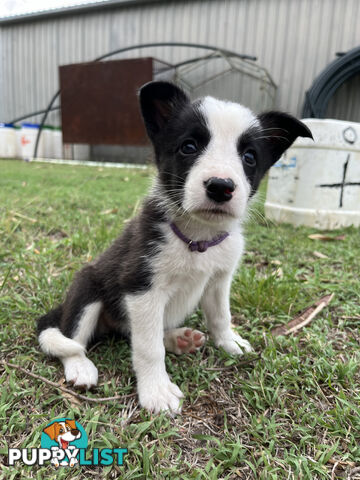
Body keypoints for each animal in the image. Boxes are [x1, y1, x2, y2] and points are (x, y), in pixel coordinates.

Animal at [37, 80, 312, 410]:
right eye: (189, 147)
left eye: (249, 157)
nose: (220, 186)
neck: (199, 237)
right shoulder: (141, 288)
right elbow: (148, 348)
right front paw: (156, 390)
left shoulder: (219, 281)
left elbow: (221, 316)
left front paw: (229, 341)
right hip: (87, 288)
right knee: (72, 340)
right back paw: (80, 366)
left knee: (131, 332)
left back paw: (177, 338)